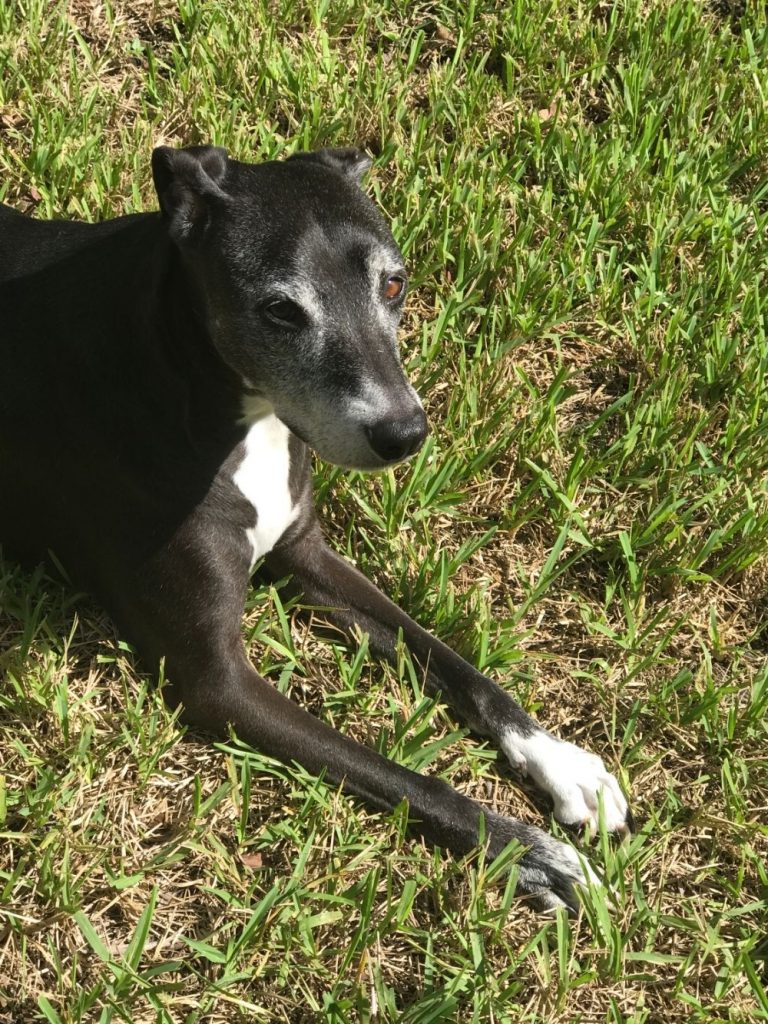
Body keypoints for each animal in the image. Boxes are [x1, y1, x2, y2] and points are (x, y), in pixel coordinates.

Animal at [0, 144, 630, 913]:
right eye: (278, 309)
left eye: (394, 284)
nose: (404, 434)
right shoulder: (218, 681)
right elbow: (407, 779)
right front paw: (530, 852)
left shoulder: (307, 554)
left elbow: (459, 667)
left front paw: (560, 761)